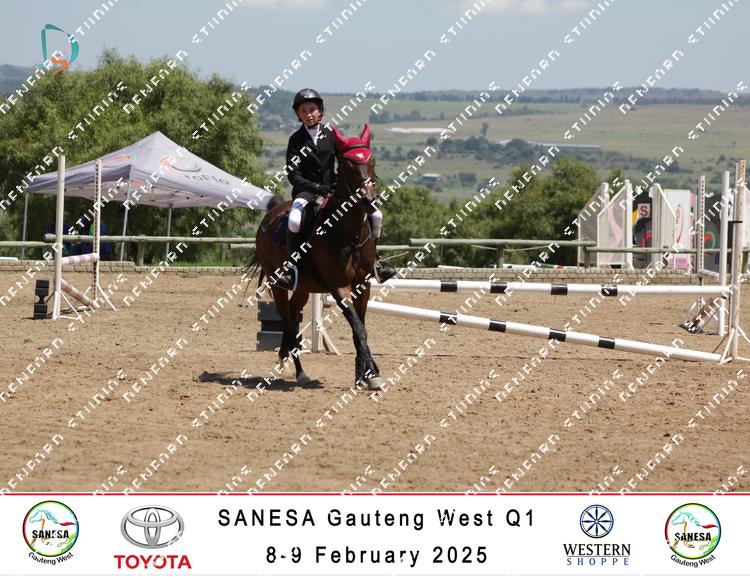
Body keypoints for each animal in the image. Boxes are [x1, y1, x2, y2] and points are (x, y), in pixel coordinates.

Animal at [248, 124, 385, 390]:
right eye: (348, 165)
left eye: (371, 161)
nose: (369, 201)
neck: (348, 232)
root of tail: (270, 215)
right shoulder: (339, 287)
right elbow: (359, 328)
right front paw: (371, 373)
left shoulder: (363, 285)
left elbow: (360, 328)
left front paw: (365, 375)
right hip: (278, 284)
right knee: (288, 321)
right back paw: (300, 372)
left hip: (303, 288)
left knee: (293, 315)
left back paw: (286, 358)